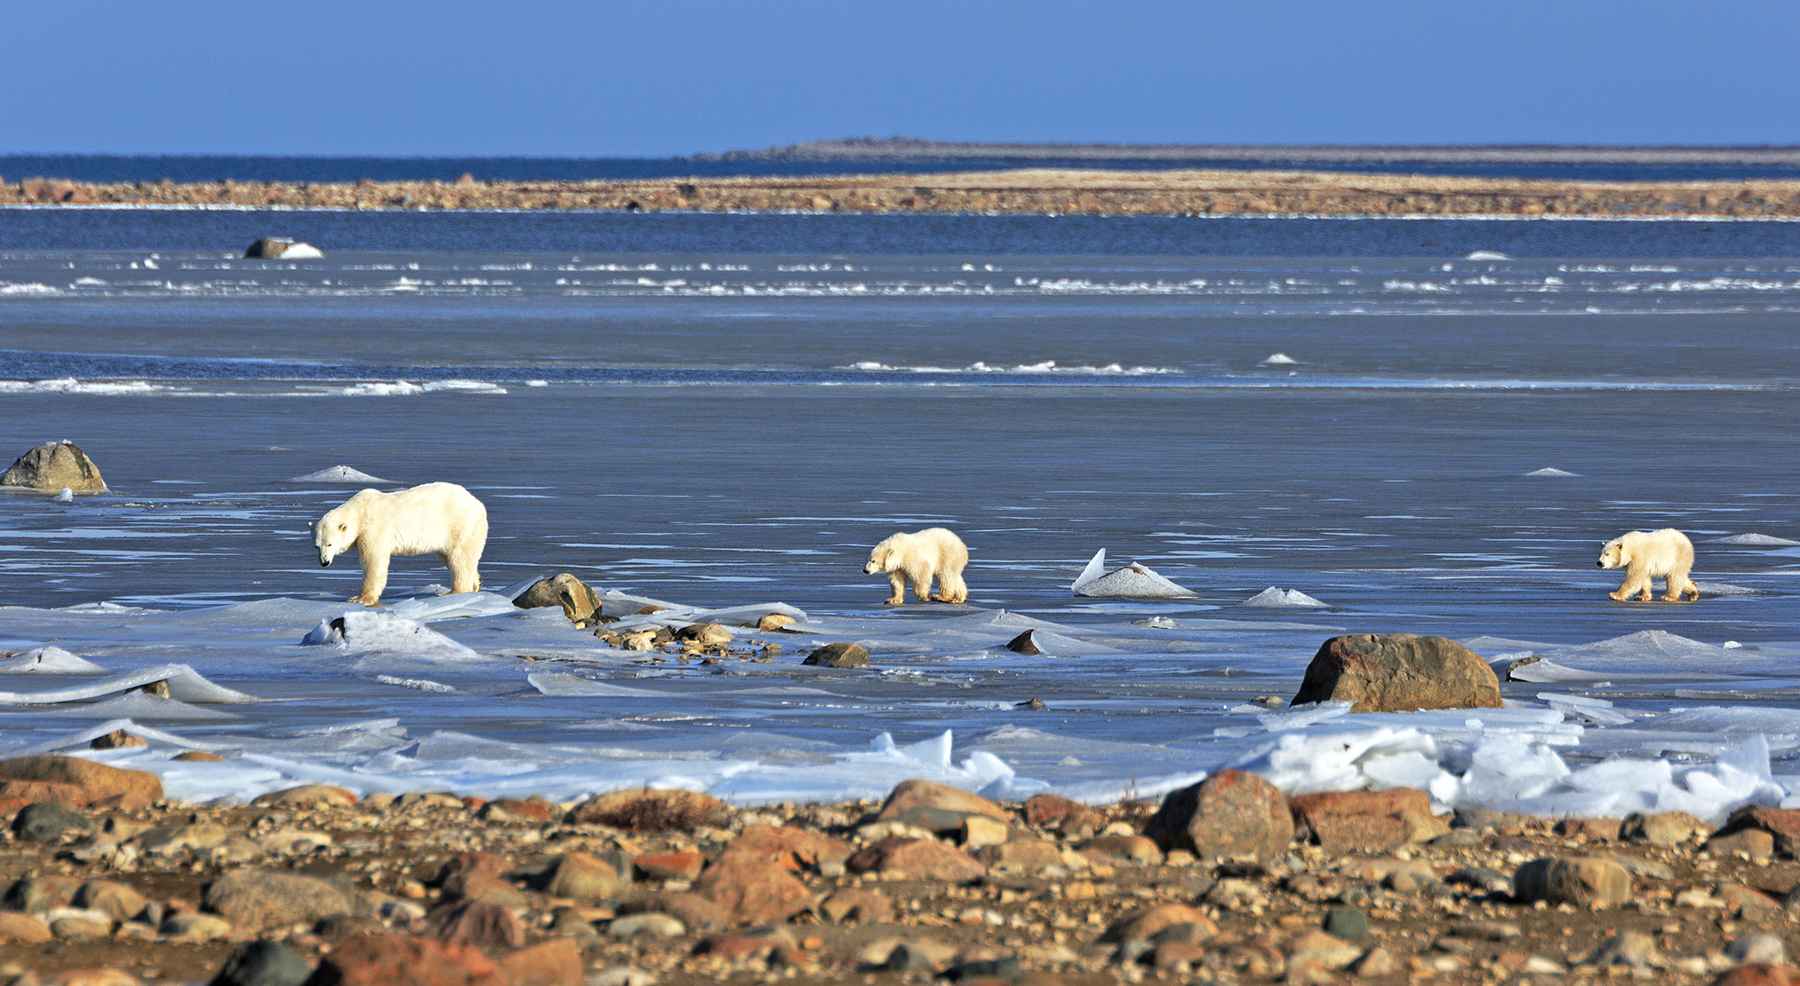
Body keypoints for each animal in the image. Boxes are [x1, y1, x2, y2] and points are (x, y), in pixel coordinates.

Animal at [313, 482, 489, 604]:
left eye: (329, 544)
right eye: (317, 546)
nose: (324, 562)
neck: (360, 511)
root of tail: (479, 505)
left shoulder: (373, 529)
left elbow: (373, 561)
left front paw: (360, 598)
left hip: (460, 525)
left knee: (459, 559)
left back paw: (454, 592)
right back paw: (474, 586)